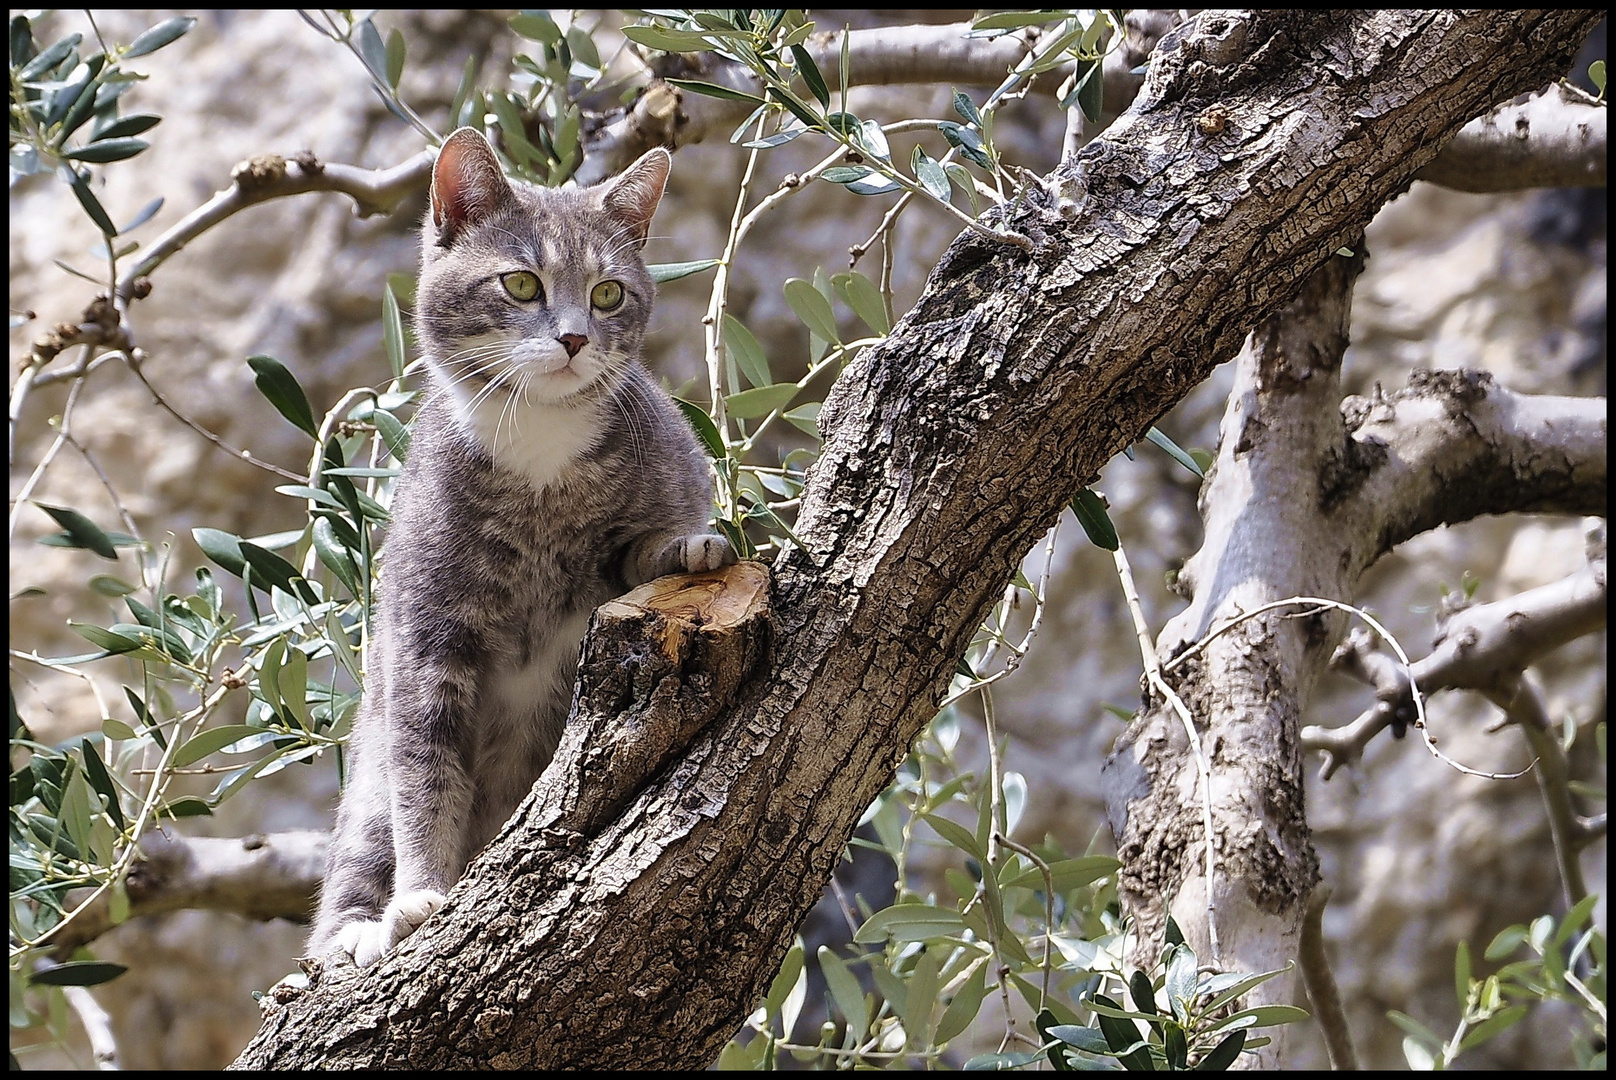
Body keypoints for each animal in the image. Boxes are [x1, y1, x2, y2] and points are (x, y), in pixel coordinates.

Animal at [307, 130, 733, 963]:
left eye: (608, 294)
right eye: (521, 284)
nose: (572, 336)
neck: (538, 445)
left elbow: (638, 549)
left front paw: (685, 548)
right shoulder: (426, 641)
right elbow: (427, 777)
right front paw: (421, 897)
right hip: (366, 779)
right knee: (360, 847)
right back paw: (350, 938)